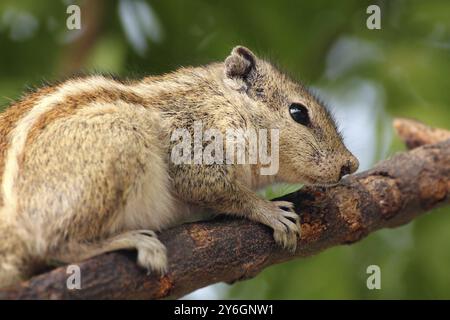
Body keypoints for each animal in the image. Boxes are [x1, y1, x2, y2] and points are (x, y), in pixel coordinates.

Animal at [0, 45, 358, 288]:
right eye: (298, 112)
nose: (350, 164)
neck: (220, 101)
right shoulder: (194, 142)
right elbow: (219, 189)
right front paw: (269, 210)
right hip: (122, 142)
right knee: (57, 244)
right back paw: (135, 241)